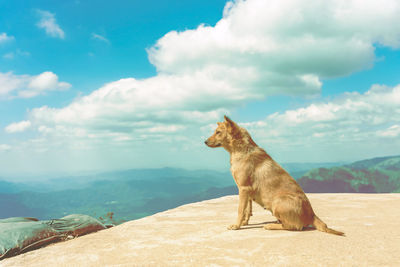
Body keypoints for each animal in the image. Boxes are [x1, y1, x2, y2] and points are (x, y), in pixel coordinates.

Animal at [206, 116, 344, 236]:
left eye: (218, 132)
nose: (205, 141)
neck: (241, 150)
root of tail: (312, 214)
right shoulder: (246, 191)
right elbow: (247, 210)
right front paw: (244, 223)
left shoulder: (244, 189)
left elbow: (240, 210)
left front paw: (236, 225)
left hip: (278, 201)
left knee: (294, 227)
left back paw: (271, 225)